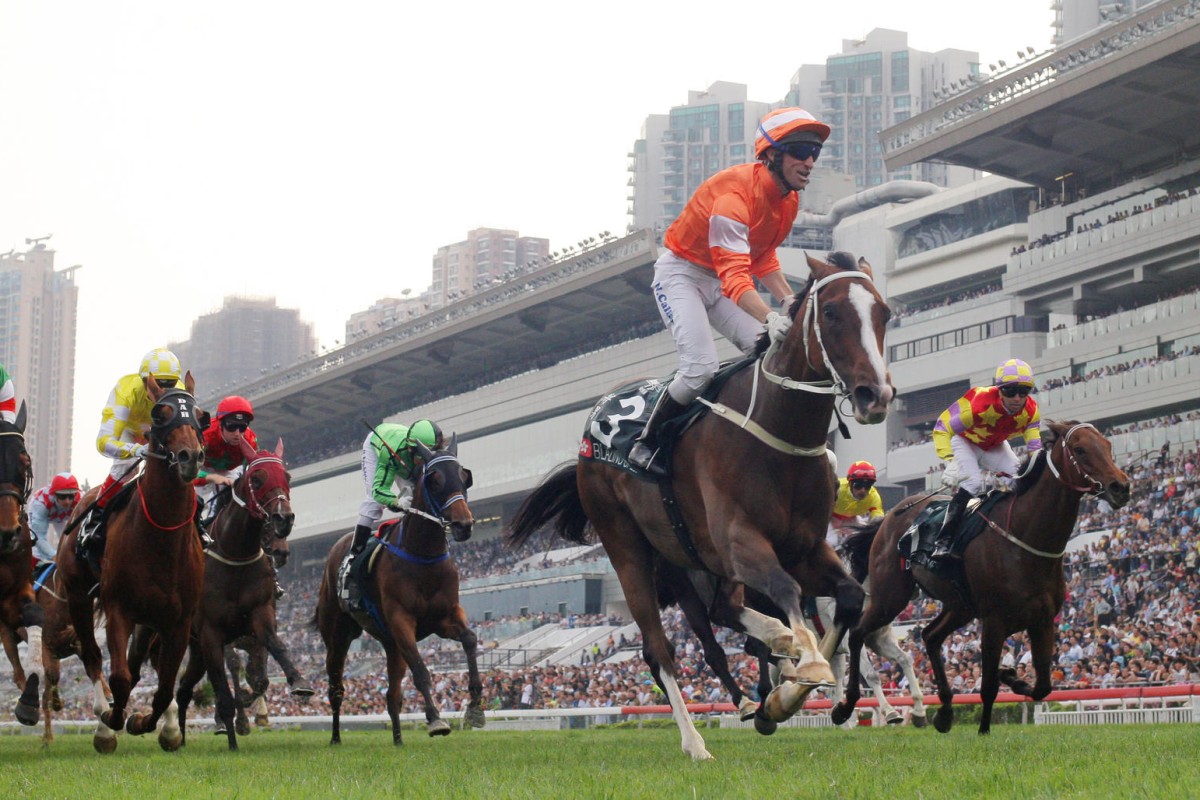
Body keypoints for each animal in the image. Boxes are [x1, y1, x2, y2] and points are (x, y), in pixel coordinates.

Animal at [58, 379, 205, 753]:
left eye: (200, 415)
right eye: (160, 413)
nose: (190, 457)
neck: (160, 539)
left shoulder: (178, 620)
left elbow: (164, 685)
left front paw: (154, 725)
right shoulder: (117, 609)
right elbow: (120, 677)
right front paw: (112, 721)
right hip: (79, 598)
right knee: (92, 656)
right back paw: (103, 719)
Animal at [316, 434, 480, 748]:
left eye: (465, 476)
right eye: (435, 479)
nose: (463, 525)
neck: (423, 556)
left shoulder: (444, 617)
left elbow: (469, 639)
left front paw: (476, 706)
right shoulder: (401, 620)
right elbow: (421, 669)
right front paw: (436, 719)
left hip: (390, 644)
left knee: (392, 696)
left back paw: (398, 738)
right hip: (338, 636)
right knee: (336, 687)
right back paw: (335, 737)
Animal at [506, 251, 892, 758]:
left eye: (884, 313)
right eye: (830, 313)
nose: (875, 395)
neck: (776, 432)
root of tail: (590, 435)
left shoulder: (805, 548)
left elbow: (847, 597)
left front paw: (787, 695)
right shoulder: (740, 543)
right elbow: (785, 590)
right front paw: (801, 670)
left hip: (687, 560)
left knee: (723, 615)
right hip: (629, 548)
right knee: (660, 648)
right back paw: (695, 740)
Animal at [830, 422, 1128, 734]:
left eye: (1107, 445)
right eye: (1080, 450)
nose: (1121, 487)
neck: (1025, 537)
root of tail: (888, 517)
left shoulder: (1042, 621)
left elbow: (1043, 686)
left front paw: (1012, 676)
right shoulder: (994, 623)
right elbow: (988, 688)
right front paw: (984, 729)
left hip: (959, 606)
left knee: (930, 636)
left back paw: (944, 711)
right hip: (891, 596)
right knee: (858, 633)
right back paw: (845, 707)